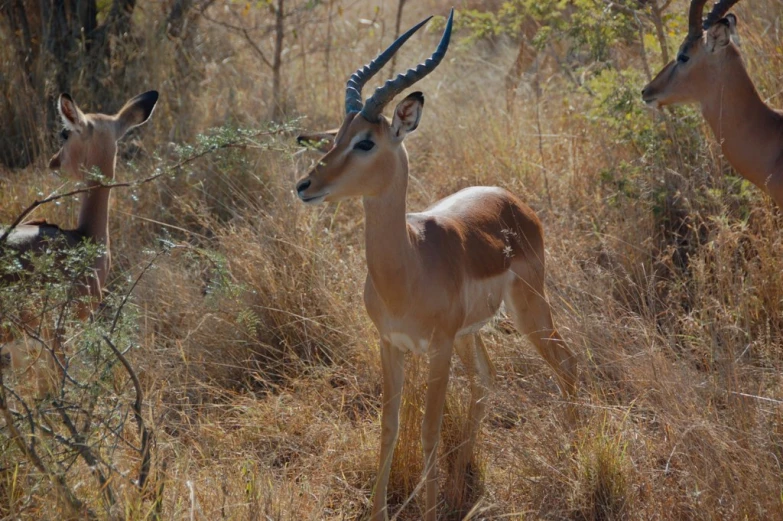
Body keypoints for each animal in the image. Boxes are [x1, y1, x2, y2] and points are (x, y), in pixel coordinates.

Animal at [298, 9, 580, 520]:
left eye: (366, 142)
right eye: (337, 136)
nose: (305, 185)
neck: (407, 268)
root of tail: (511, 199)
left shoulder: (438, 348)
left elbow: (428, 430)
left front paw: (426, 510)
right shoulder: (390, 344)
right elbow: (389, 426)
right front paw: (377, 511)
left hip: (528, 309)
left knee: (566, 364)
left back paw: (576, 452)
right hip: (473, 333)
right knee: (487, 380)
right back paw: (459, 484)